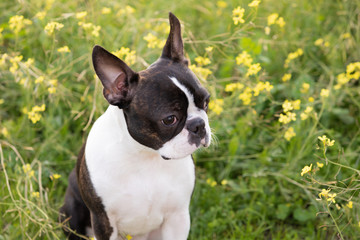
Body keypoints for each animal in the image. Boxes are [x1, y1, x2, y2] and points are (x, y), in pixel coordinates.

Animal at [59, 12, 211, 239]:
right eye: (170, 119)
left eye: (206, 102)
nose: (199, 125)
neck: (144, 157)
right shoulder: (103, 221)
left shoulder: (178, 217)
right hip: (70, 212)